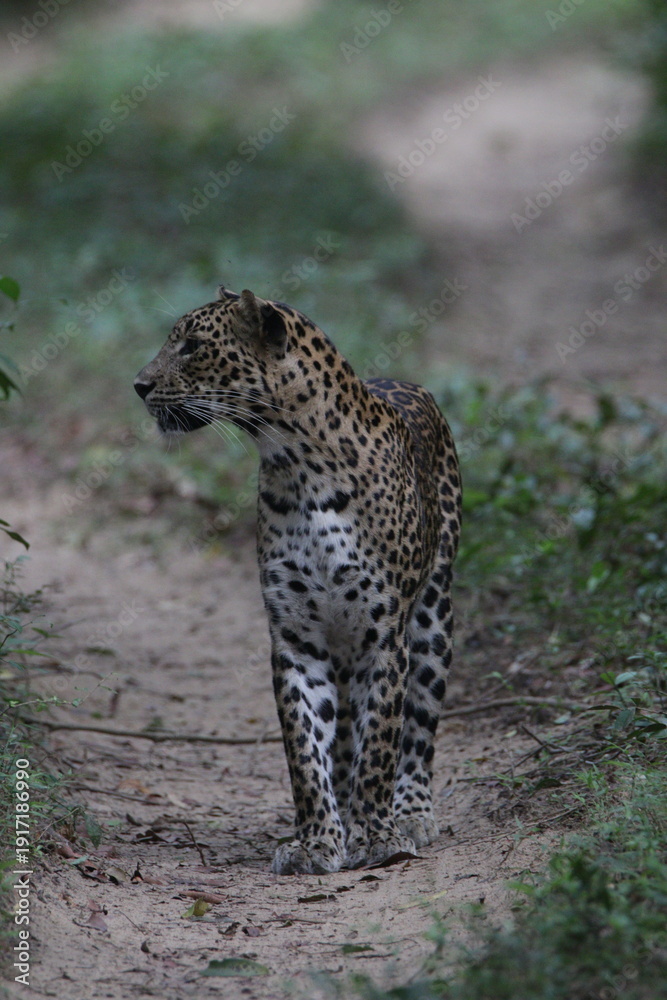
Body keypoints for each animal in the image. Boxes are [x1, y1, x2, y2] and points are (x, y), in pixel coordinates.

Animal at [134, 285, 462, 874]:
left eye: (192, 346)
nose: (139, 385)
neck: (297, 464)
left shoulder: (384, 637)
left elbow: (382, 740)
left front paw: (377, 835)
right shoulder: (296, 639)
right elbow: (305, 750)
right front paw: (315, 841)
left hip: (432, 618)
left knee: (418, 725)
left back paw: (411, 813)